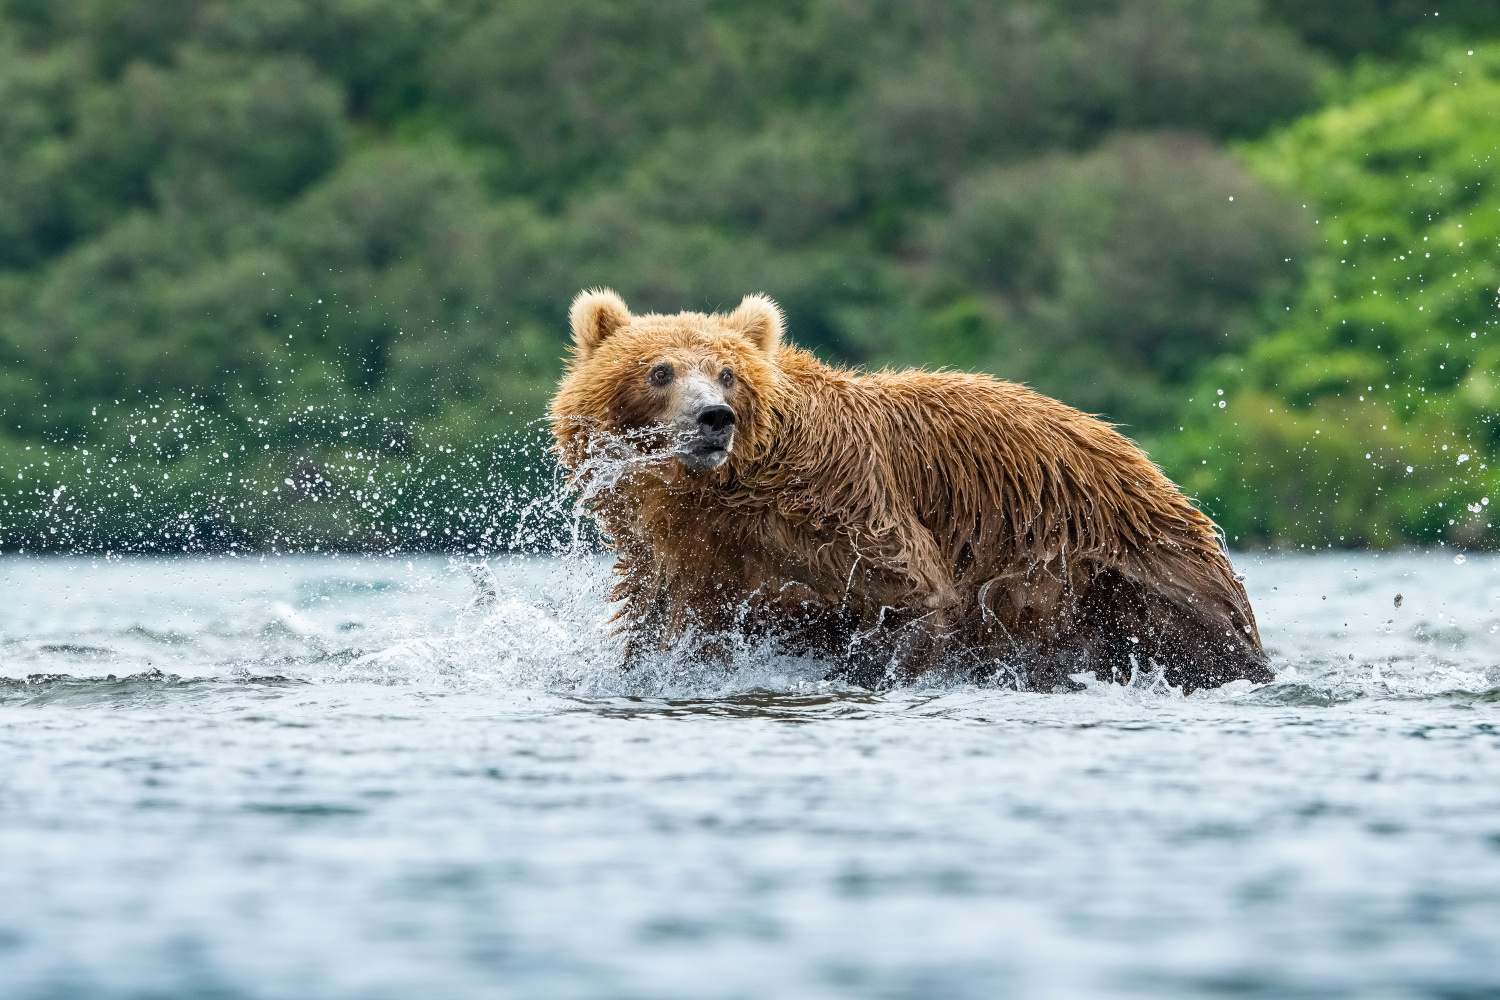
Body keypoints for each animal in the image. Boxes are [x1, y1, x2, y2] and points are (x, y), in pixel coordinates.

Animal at [546, 290, 1272, 695]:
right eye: (660, 371)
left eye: (727, 373)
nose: (713, 418)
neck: (721, 494)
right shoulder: (678, 555)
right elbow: (660, 628)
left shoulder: (835, 503)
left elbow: (912, 593)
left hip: (1123, 569)